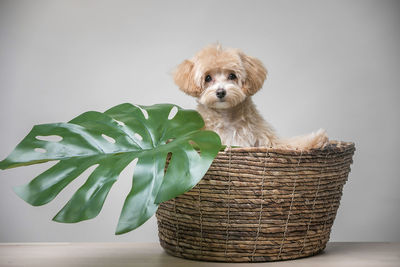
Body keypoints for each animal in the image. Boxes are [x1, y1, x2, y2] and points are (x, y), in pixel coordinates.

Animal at [174, 43, 328, 149]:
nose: (221, 92)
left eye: (232, 76)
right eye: (207, 78)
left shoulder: (266, 140)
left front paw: (317, 139)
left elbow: (288, 143)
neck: (227, 118)